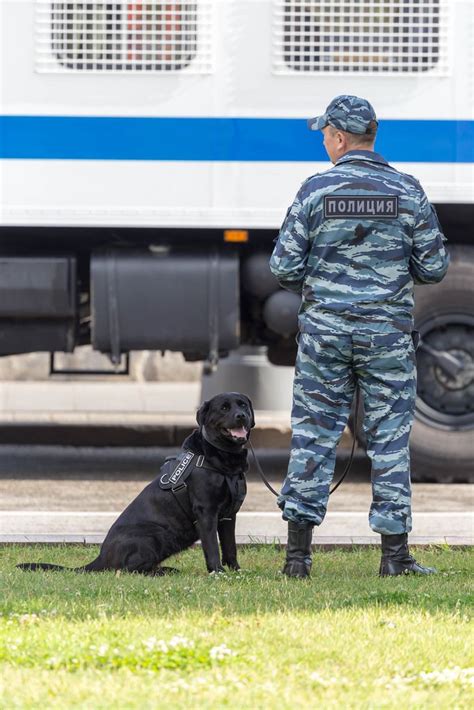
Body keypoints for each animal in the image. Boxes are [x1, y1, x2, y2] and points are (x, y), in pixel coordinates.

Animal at [17, 394, 256, 580]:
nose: (241, 416)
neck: (222, 459)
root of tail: (101, 556)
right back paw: (161, 572)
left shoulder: (229, 515)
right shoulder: (206, 512)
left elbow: (230, 547)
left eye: (242, 405)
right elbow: (213, 547)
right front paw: (217, 573)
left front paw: (236, 571)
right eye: (224, 408)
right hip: (157, 535)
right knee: (127, 570)